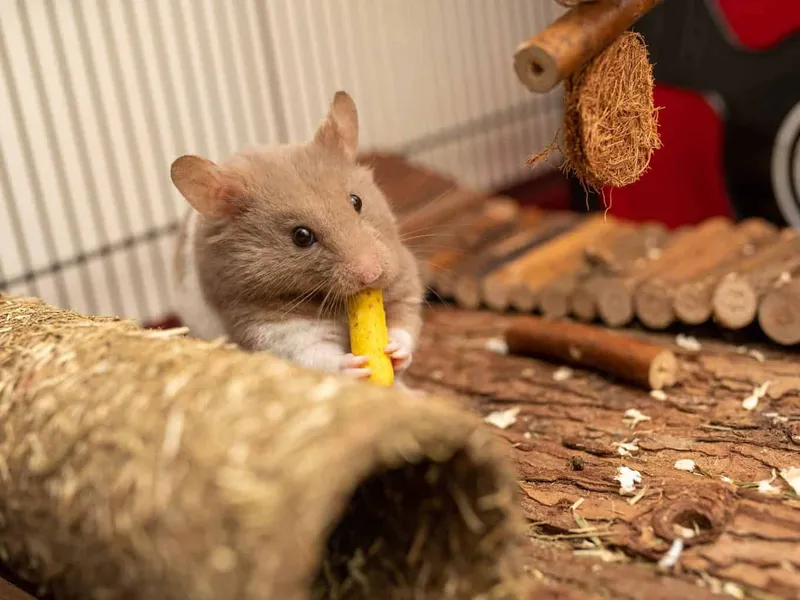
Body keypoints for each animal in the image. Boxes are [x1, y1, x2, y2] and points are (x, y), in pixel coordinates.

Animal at [171, 91, 424, 385]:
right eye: (301, 236)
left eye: (356, 201)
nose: (372, 275)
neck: (333, 300)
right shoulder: (272, 327)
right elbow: (314, 354)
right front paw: (356, 367)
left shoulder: (404, 278)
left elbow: (405, 323)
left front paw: (394, 351)